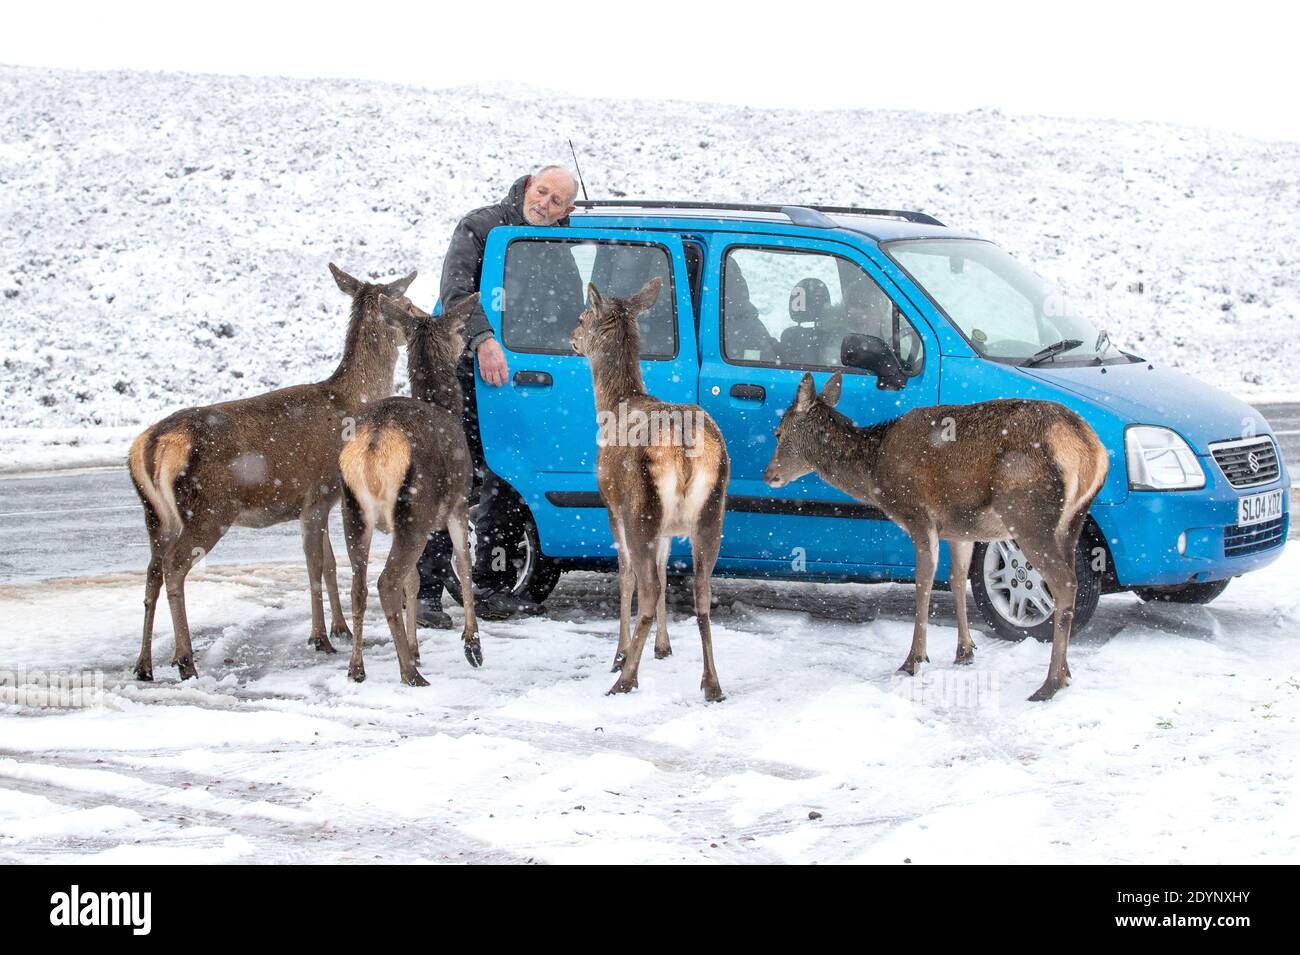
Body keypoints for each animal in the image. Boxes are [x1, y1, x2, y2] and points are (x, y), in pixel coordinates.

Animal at [126, 263, 410, 680]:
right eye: (405, 302)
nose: (420, 318)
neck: (350, 401)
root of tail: (151, 445)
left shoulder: (319, 502)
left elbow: (328, 563)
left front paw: (339, 629)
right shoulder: (318, 492)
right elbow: (314, 564)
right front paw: (320, 637)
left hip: (154, 515)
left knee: (151, 572)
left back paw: (144, 664)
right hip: (208, 510)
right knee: (174, 567)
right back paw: (185, 660)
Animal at [340, 293, 483, 686]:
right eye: (460, 330)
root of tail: (374, 442)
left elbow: (415, 580)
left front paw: (418, 649)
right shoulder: (458, 502)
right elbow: (463, 563)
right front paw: (472, 646)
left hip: (354, 511)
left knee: (359, 585)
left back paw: (357, 667)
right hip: (415, 510)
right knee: (386, 583)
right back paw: (409, 673)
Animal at [572, 276, 733, 701]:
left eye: (582, 316)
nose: (572, 338)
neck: (614, 402)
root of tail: (684, 445)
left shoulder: (610, 505)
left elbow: (626, 575)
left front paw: (619, 654)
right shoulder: (667, 528)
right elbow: (664, 568)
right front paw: (664, 646)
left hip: (638, 507)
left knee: (645, 587)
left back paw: (625, 677)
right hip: (711, 513)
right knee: (702, 592)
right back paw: (712, 684)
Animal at [759, 374, 1107, 701]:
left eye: (778, 432)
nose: (768, 475)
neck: (876, 472)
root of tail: (1092, 450)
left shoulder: (918, 515)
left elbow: (923, 580)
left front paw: (914, 659)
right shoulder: (960, 529)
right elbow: (956, 579)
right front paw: (965, 651)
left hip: (1028, 514)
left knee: (1065, 582)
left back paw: (1050, 684)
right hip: (1073, 520)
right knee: (1071, 579)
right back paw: (1066, 672)